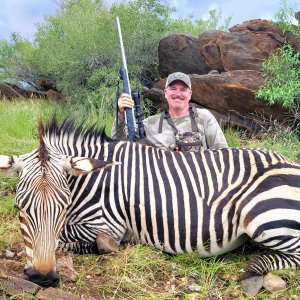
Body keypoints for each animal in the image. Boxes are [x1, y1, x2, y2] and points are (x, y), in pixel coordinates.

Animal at [0, 115, 300, 296]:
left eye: (63, 207)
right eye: (19, 208)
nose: (42, 278)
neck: (91, 178)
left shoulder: (107, 223)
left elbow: (69, 238)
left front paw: (104, 246)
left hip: (263, 216)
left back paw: (255, 267)